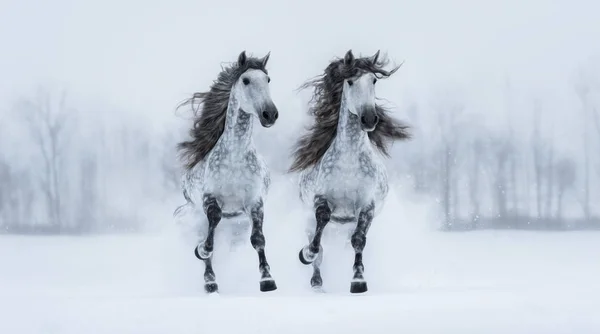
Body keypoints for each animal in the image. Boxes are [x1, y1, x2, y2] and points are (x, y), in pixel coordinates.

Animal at [172, 51, 278, 294]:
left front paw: (267, 279)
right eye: (246, 80)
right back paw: (210, 281)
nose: (270, 114)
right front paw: (201, 252)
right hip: (196, 215)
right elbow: (210, 234)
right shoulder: (210, 199)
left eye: (267, 80)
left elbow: (258, 239)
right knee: (206, 238)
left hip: (237, 225)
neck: (235, 159)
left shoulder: (255, 203)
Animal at [288, 49, 410, 292]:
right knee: (316, 241)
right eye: (351, 81)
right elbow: (318, 235)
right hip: (309, 218)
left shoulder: (367, 207)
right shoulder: (320, 199)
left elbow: (358, 240)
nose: (369, 118)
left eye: (373, 80)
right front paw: (305, 255)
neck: (349, 164)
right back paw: (316, 281)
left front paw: (358, 280)